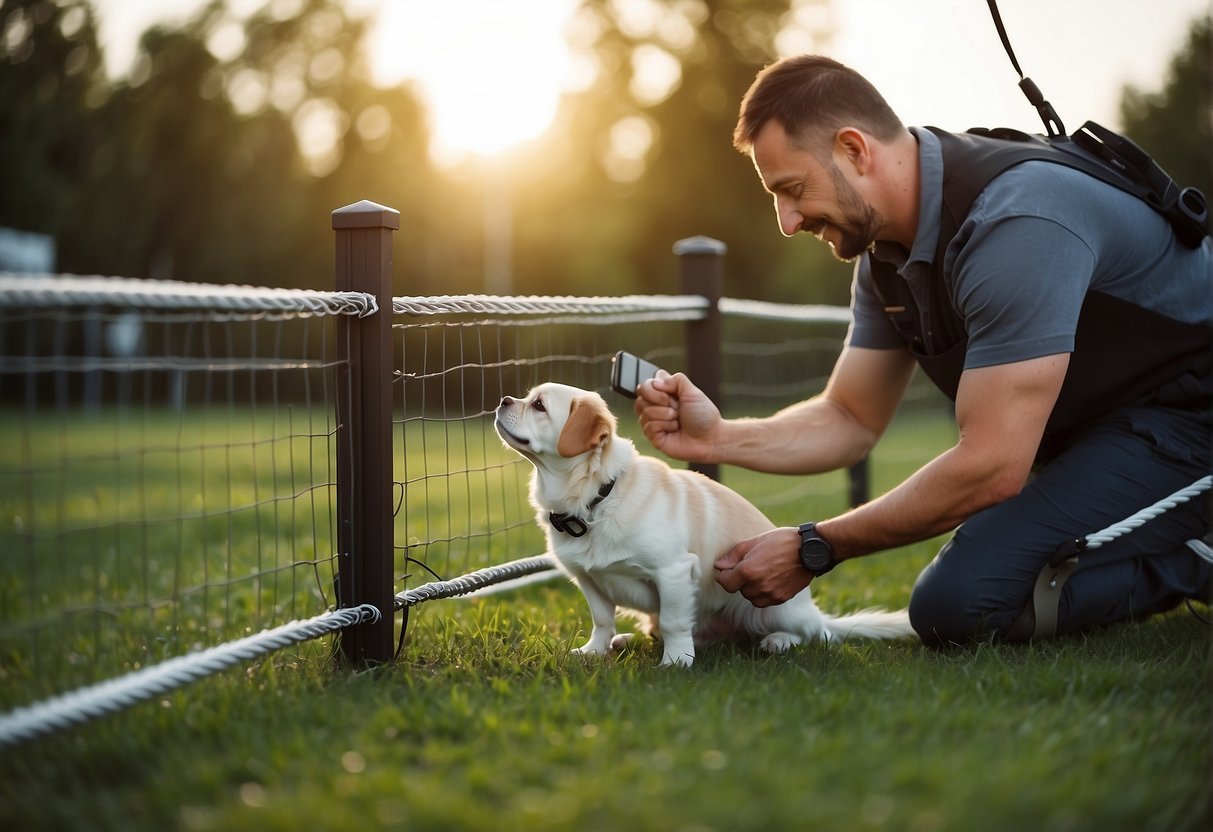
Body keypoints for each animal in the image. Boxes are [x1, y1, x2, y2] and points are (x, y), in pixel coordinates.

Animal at [492, 380, 912, 669]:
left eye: (539, 406)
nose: (503, 400)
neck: (596, 499)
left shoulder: (674, 572)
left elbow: (675, 621)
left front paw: (676, 662)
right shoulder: (589, 580)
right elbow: (602, 620)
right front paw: (594, 651)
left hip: (774, 609)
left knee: (815, 634)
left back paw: (779, 641)